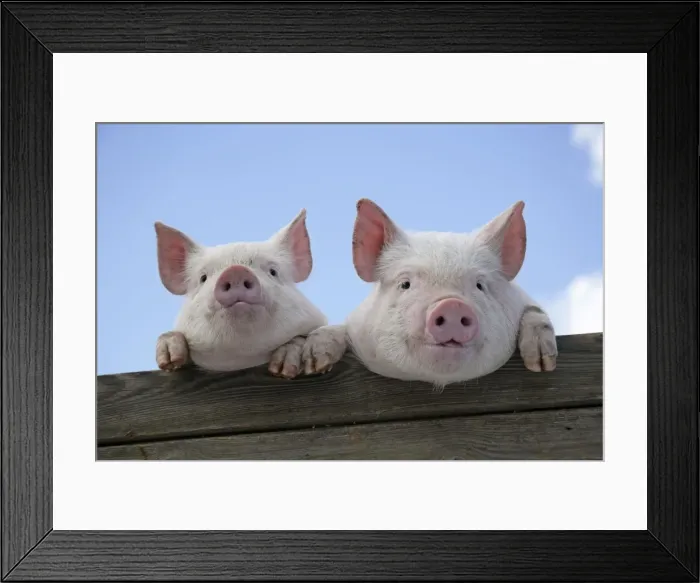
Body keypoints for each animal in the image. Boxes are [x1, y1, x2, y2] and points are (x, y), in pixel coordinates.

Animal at [154, 209, 328, 376]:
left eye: (273, 271)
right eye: (203, 278)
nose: (235, 271)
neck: (242, 360)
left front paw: (284, 369)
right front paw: (170, 359)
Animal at [296, 198, 558, 391]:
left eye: (480, 285)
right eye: (405, 284)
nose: (452, 305)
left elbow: (535, 312)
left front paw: (541, 364)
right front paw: (314, 362)